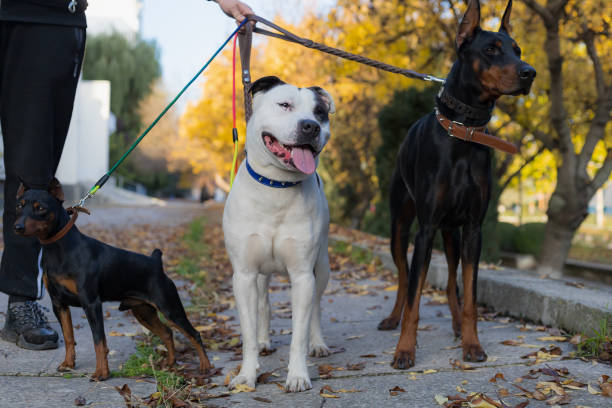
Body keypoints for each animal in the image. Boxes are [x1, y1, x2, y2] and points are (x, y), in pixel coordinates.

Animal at [14, 178, 212, 380]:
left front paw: (102, 373)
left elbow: (99, 341)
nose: (17, 227)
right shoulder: (59, 304)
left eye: (40, 208)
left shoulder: (91, 304)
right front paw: (68, 364)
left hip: (170, 308)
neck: (59, 249)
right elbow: (69, 337)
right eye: (19, 205)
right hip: (143, 312)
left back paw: (205, 366)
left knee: (194, 334)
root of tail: (156, 262)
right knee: (167, 333)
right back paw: (171, 363)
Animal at [222, 76, 334, 392]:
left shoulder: (303, 276)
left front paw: (297, 375)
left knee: (317, 307)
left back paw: (318, 343)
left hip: (322, 266)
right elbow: (247, 331)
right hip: (260, 275)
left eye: (320, 112)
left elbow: (299, 332)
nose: (311, 126)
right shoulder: (244, 275)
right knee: (264, 304)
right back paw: (264, 341)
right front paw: (246, 375)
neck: (277, 186)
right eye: (284, 105)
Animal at [378, 0, 536, 370]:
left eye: (518, 50)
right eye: (491, 49)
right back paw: (392, 319)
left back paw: (454, 325)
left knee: (452, 280)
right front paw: (405, 351)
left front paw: (472, 344)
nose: (530, 72)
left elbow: (470, 296)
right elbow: (414, 297)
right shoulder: (425, 229)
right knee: (404, 278)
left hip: (452, 233)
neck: (465, 131)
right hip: (401, 228)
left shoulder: (474, 228)